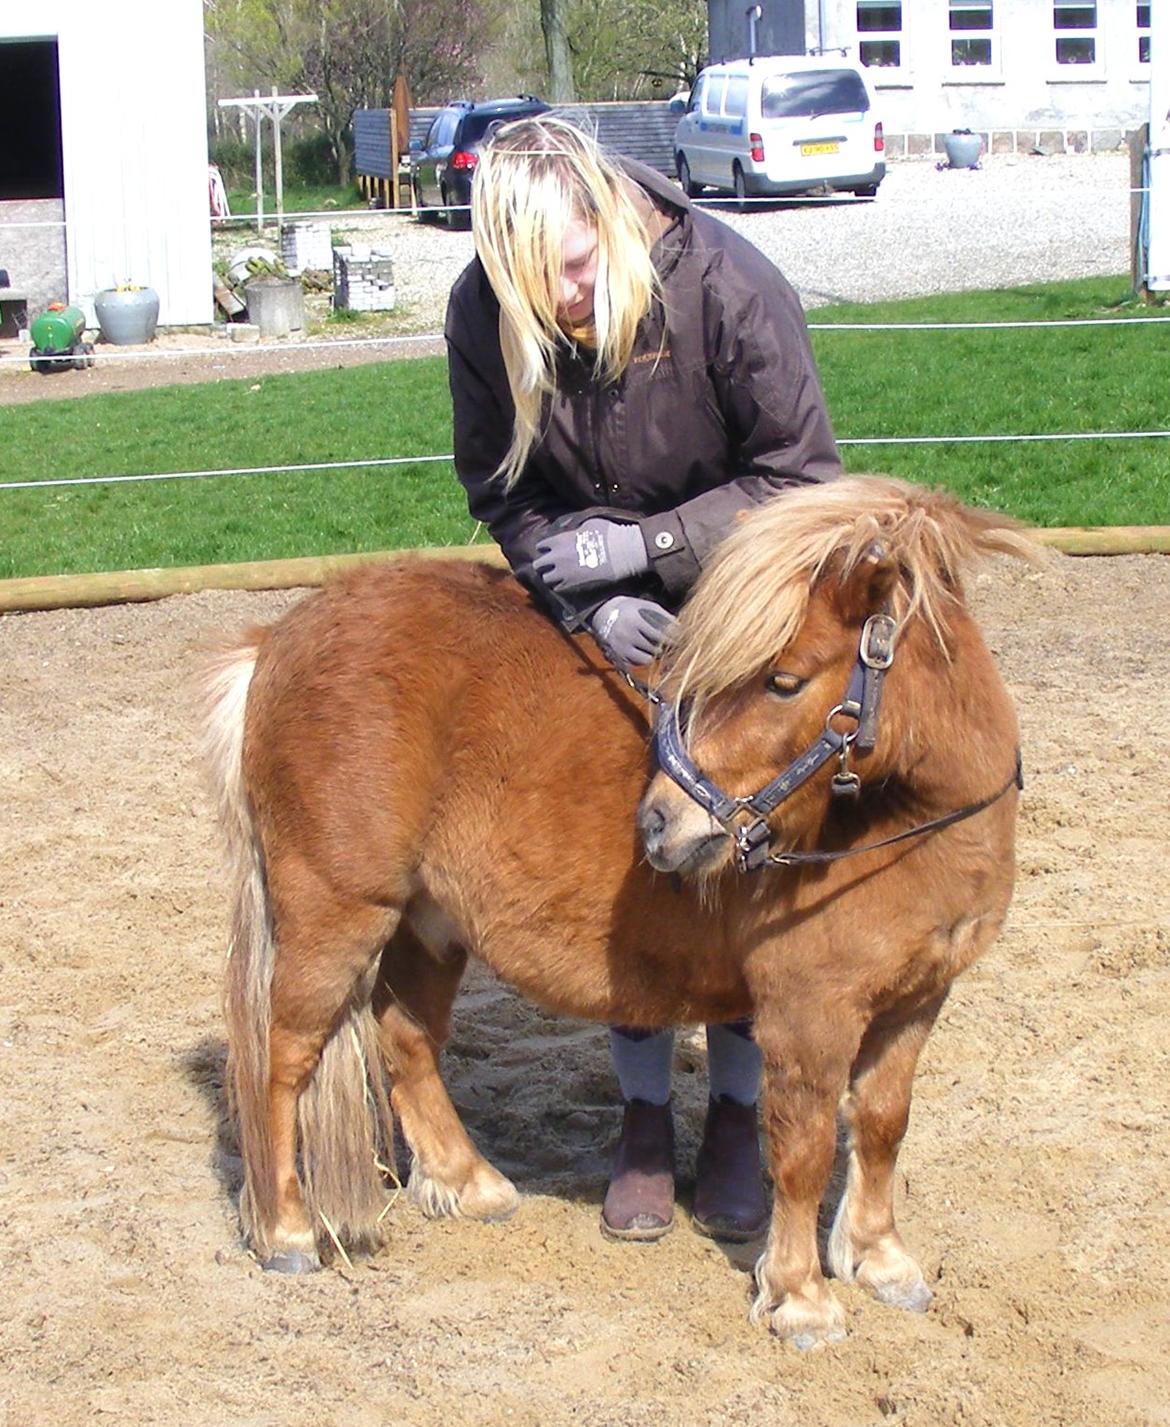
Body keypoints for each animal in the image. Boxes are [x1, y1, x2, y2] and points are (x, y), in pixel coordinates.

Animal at [201, 473, 1033, 1341]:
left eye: (785, 679)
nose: (661, 821)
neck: (901, 826)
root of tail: (276, 640)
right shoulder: (810, 1012)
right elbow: (801, 1149)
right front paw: (800, 1295)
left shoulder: (917, 998)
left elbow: (880, 1124)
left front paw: (879, 1258)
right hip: (333, 915)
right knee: (282, 1058)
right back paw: (289, 1230)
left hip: (426, 923)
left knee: (406, 1039)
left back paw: (467, 1181)